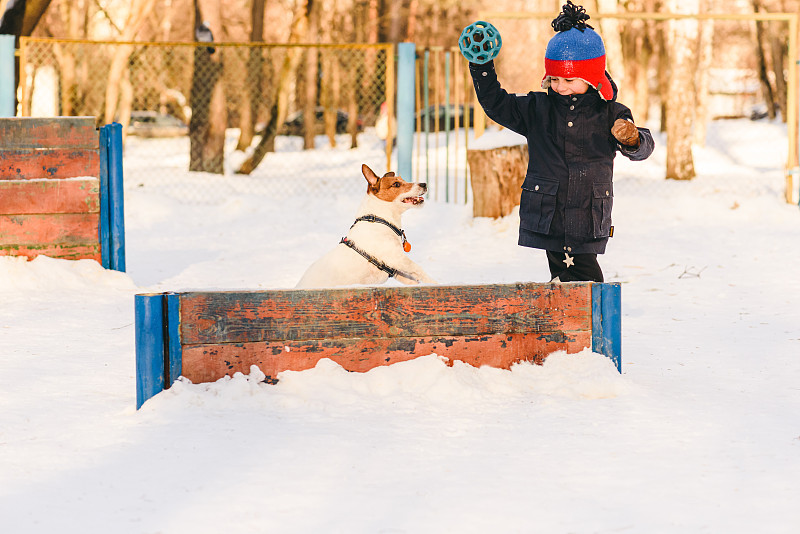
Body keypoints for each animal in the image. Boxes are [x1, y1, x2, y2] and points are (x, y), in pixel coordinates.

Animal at [296, 163, 438, 288]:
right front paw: (436, 284)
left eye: (403, 180)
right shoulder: (397, 259)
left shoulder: (395, 269)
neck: (380, 219)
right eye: (396, 184)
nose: (424, 184)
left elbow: (413, 279)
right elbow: (419, 269)